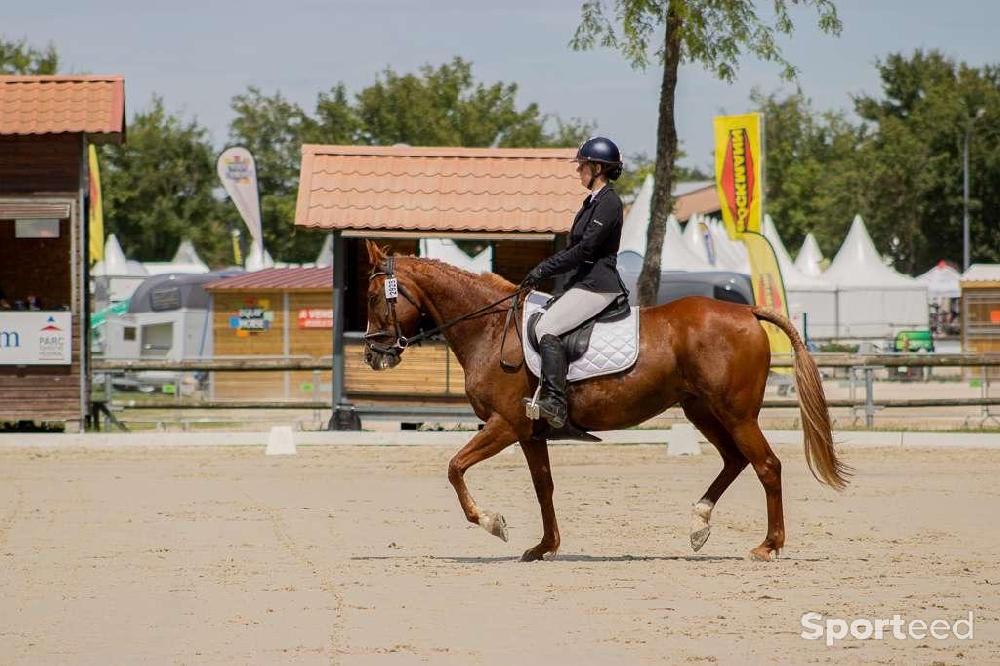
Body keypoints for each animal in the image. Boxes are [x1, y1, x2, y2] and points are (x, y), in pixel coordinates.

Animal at [364, 241, 848, 556]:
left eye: (371, 297)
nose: (372, 354)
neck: (490, 327)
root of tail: (747, 311)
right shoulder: (530, 433)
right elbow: (543, 487)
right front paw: (545, 546)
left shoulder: (506, 425)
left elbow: (454, 467)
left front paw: (493, 523)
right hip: (701, 411)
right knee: (735, 460)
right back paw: (699, 524)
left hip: (736, 413)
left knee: (767, 465)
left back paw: (768, 545)